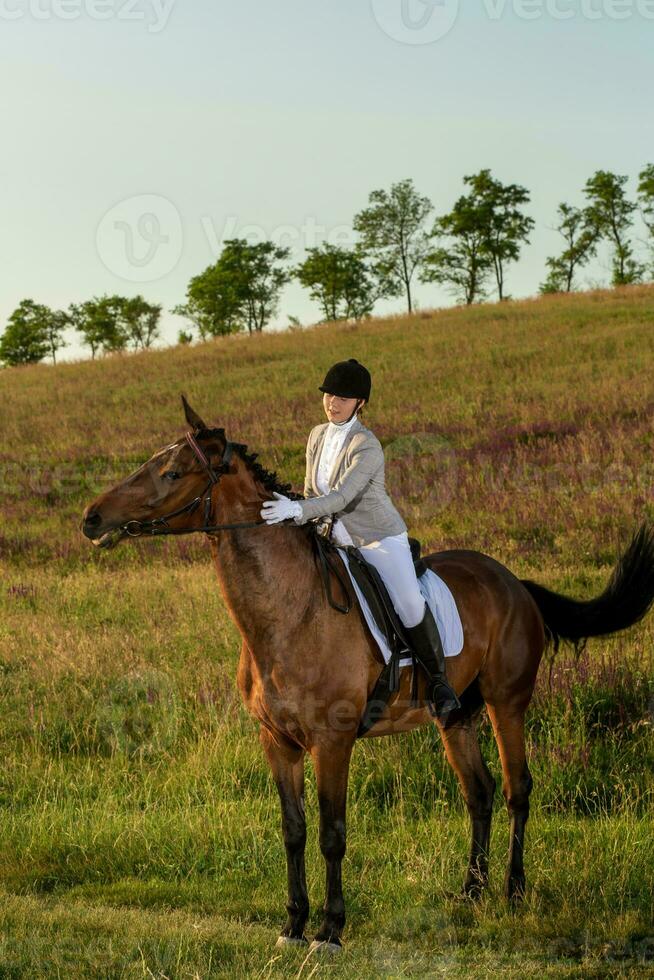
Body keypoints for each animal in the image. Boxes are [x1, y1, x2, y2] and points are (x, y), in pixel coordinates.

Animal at [80, 396, 654, 948]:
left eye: (173, 473)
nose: (91, 519)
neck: (290, 610)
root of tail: (513, 582)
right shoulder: (277, 740)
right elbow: (293, 830)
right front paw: (293, 924)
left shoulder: (332, 741)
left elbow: (332, 833)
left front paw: (330, 930)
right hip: (454, 715)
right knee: (480, 791)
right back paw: (472, 890)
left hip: (506, 702)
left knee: (517, 788)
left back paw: (513, 891)